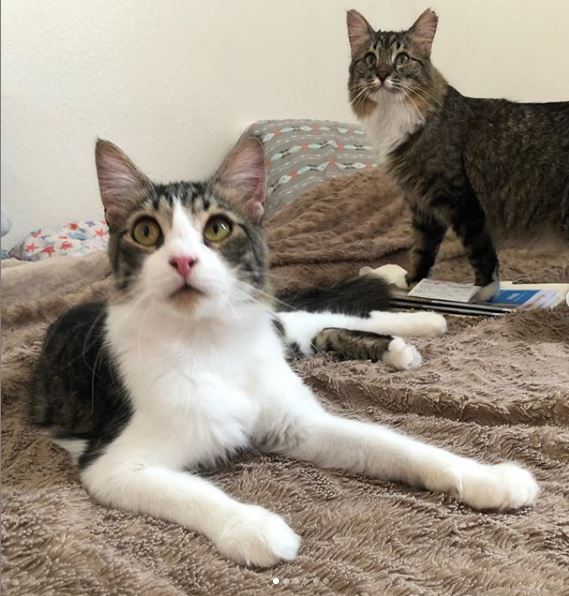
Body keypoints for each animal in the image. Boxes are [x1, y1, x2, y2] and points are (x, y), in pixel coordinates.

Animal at [28, 137, 540, 564]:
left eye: (217, 229)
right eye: (147, 233)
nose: (183, 260)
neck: (212, 340)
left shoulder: (299, 422)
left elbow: (400, 447)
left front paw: (487, 477)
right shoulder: (111, 463)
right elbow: (190, 492)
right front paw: (253, 527)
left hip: (279, 327)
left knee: (324, 313)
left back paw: (421, 319)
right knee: (321, 324)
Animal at [344, 9, 564, 298]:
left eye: (402, 58)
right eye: (370, 58)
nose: (382, 73)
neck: (393, 116)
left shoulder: (460, 200)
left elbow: (480, 253)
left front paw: (481, 293)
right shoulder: (421, 205)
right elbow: (422, 251)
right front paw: (412, 282)